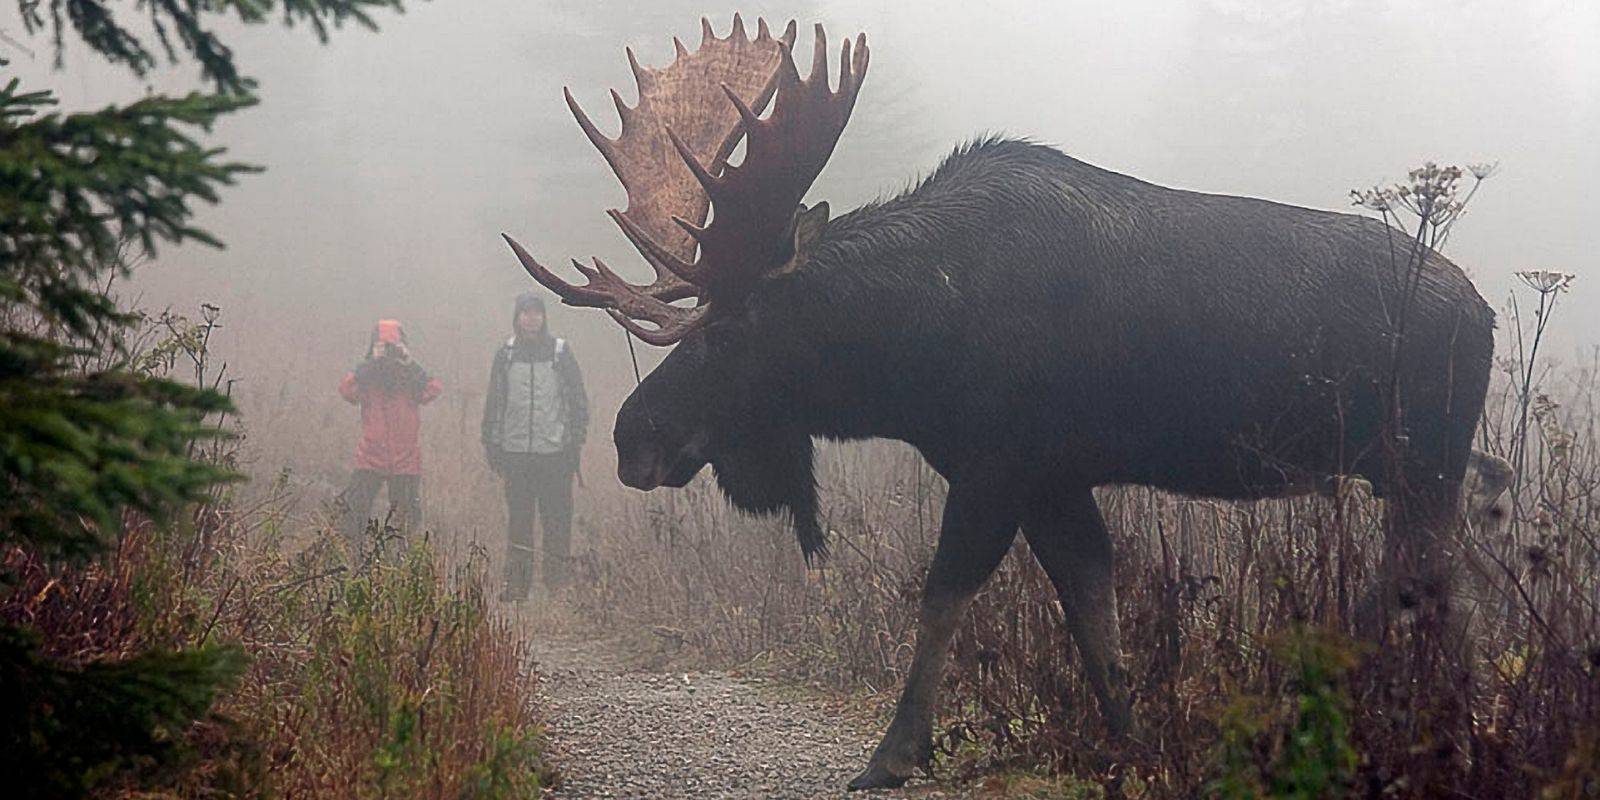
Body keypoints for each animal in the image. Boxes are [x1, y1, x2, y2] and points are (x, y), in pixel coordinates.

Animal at [505, 15, 1504, 790]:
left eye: (733, 328)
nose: (634, 436)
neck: (911, 351)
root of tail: (1485, 310)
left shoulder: (998, 464)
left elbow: (942, 595)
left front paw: (894, 753)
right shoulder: (1054, 477)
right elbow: (1092, 607)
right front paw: (1131, 743)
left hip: (1423, 467)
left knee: (1433, 591)